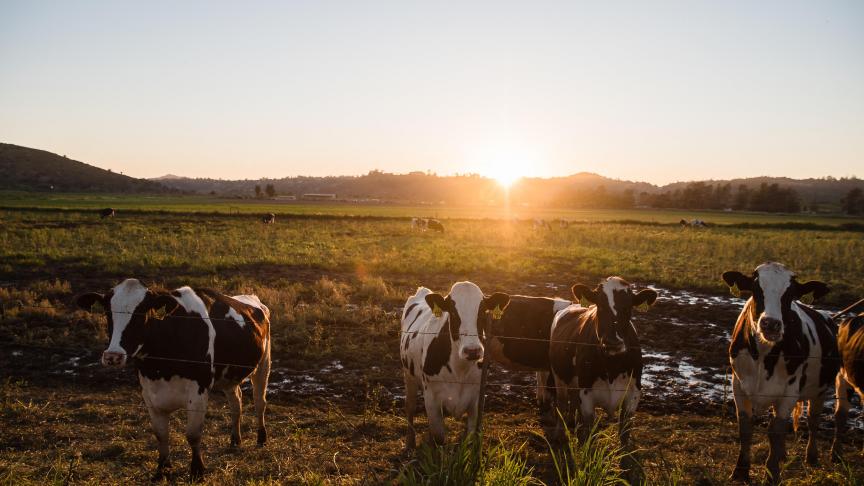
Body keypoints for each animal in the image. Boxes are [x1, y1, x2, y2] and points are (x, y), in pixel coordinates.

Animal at [80, 280, 274, 480]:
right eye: (107, 312)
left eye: (141, 313)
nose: (113, 356)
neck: (161, 367)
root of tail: (253, 299)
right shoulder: (149, 394)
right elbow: (161, 434)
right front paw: (162, 470)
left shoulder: (198, 391)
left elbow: (193, 434)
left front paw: (197, 471)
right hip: (229, 377)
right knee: (236, 403)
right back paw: (235, 440)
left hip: (264, 364)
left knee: (260, 402)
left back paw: (261, 438)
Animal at [402, 280, 510, 448]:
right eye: (452, 313)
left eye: (482, 312)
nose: (472, 350)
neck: (460, 370)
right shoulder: (431, 399)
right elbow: (439, 436)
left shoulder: (476, 399)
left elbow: (470, 436)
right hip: (409, 376)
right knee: (410, 406)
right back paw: (410, 442)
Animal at [548, 280, 656, 472]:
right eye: (600, 305)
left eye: (628, 307)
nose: (612, 342)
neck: (612, 365)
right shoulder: (586, 391)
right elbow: (589, 426)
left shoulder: (634, 392)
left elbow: (625, 431)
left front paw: (625, 464)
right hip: (559, 376)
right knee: (561, 402)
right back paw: (560, 433)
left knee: (572, 402)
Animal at [724, 264, 836, 484]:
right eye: (756, 289)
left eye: (790, 294)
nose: (771, 324)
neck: (763, 355)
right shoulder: (738, 384)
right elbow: (746, 428)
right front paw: (740, 471)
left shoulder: (790, 391)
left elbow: (775, 430)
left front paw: (772, 474)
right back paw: (783, 454)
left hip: (820, 390)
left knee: (813, 421)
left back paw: (811, 456)